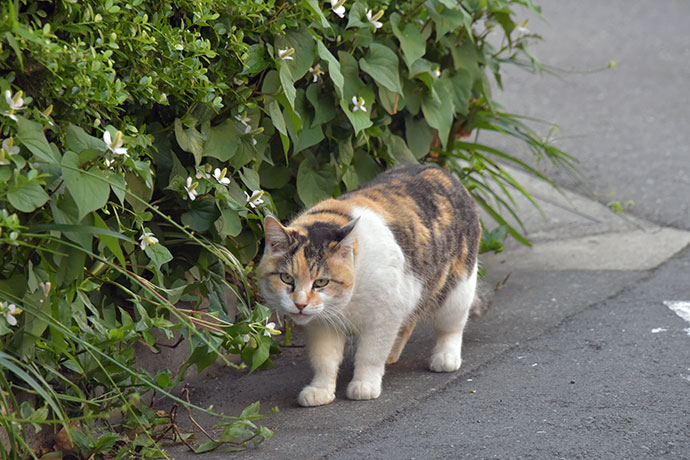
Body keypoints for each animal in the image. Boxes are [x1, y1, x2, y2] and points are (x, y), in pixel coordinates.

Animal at [255, 164, 482, 406]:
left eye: (321, 282)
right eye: (286, 278)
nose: (300, 304)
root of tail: (442, 171)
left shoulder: (384, 315)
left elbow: (370, 355)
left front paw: (364, 385)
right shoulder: (322, 324)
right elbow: (324, 360)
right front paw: (320, 391)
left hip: (457, 291)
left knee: (451, 327)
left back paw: (445, 358)